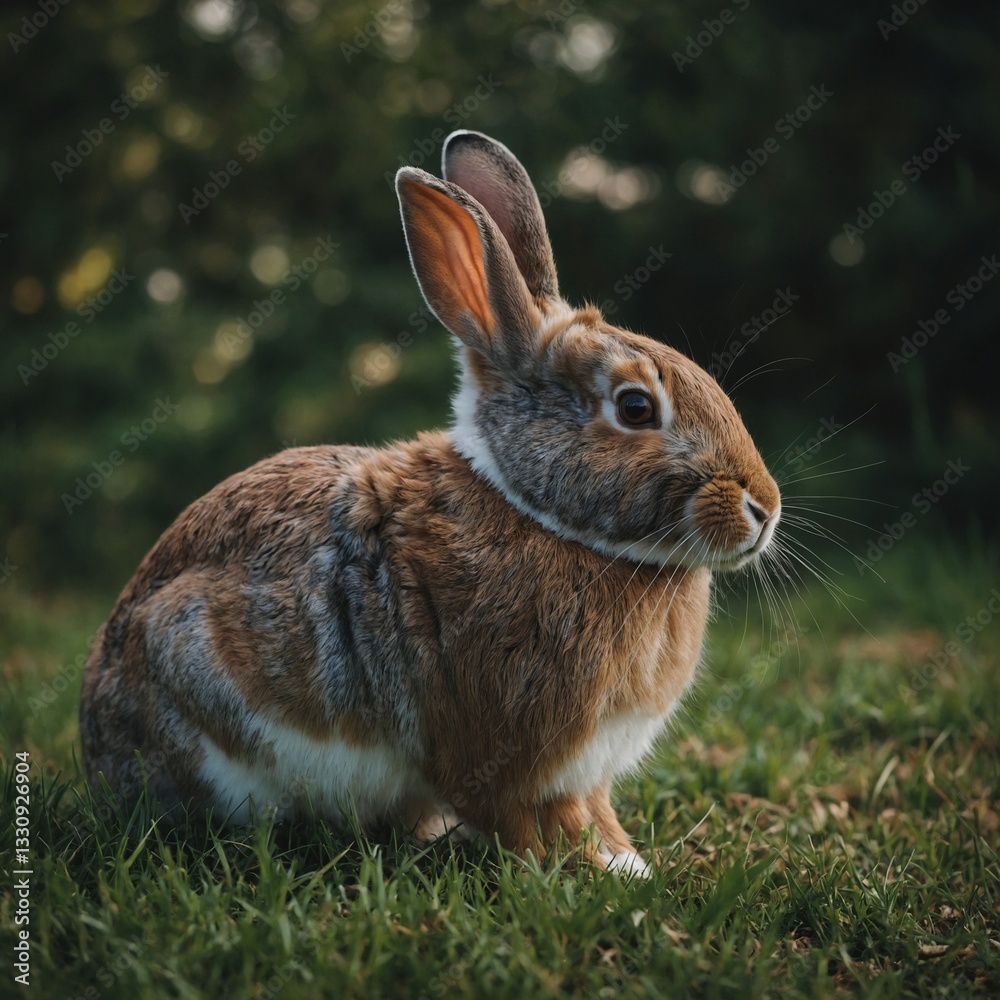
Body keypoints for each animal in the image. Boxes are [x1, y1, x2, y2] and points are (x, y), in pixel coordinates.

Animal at [80, 129, 780, 877]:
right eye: (636, 408)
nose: (765, 509)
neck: (539, 516)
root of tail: (96, 747)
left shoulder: (583, 772)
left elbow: (594, 815)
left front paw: (625, 863)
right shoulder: (503, 754)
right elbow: (525, 820)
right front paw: (586, 874)